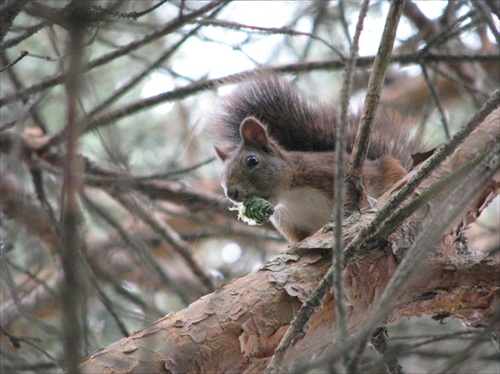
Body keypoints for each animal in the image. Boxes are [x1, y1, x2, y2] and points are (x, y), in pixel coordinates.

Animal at [209, 75, 424, 243]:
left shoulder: (329, 172)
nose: (231, 193)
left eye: (252, 160)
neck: (291, 196)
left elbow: (360, 196)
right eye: (221, 176)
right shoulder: (292, 226)